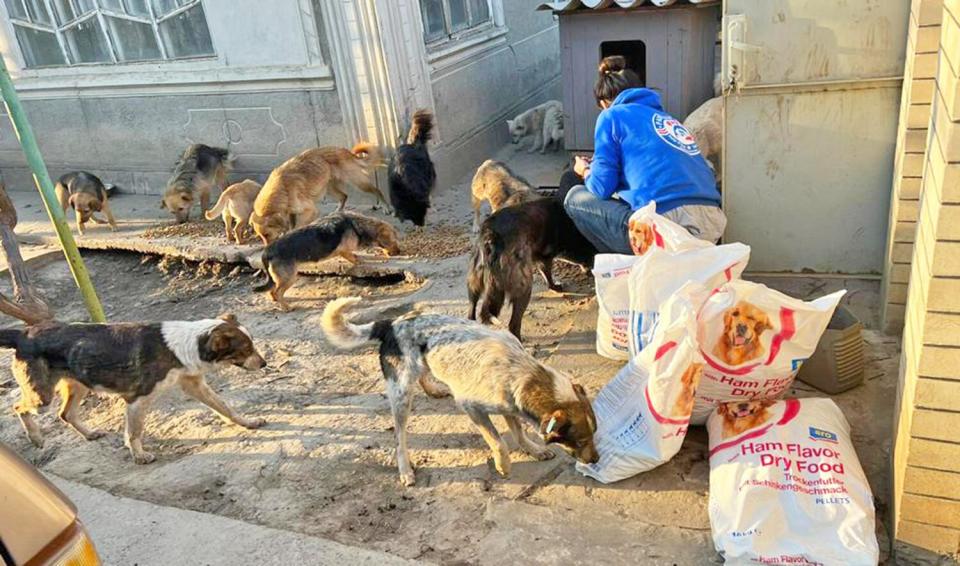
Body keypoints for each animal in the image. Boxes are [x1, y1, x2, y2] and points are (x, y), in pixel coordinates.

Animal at [4, 316, 266, 466]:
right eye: (246, 349)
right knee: (18, 406)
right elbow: (134, 431)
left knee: (65, 414)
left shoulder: (194, 384)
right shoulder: (136, 399)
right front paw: (139, 456)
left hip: (78, 386)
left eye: (253, 345)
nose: (264, 364)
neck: (185, 345)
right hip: (42, 397)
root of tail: (24, 333)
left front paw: (248, 422)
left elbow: (225, 407)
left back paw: (89, 434)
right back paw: (35, 437)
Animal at [253, 144, 392, 244]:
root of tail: (345, 151)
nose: (267, 247)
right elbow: (291, 224)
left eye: (267, 235)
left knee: (377, 191)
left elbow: (297, 226)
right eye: (261, 237)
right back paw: (337, 212)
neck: (282, 189)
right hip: (329, 188)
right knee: (344, 196)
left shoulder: (310, 210)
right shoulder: (291, 211)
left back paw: (385, 207)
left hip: (359, 183)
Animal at [253, 212, 400, 312]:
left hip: (282, 277)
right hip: (290, 277)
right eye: (394, 240)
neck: (356, 225)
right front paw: (380, 258)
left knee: (272, 291)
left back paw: (277, 301)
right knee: (277, 291)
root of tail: (267, 251)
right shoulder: (345, 251)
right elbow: (361, 258)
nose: (399, 252)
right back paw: (286, 307)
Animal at [318, 298, 596, 488]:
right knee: (399, 438)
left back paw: (434, 389)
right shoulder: (472, 408)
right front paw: (504, 466)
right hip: (401, 394)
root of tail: (391, 324)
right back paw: (405, 469)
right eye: (581, 440)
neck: (524, 372)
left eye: (594, 434)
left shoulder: (509, 405)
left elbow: (518, 432)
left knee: (424, 375)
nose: (596, 459)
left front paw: (534, 449)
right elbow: (498, 441)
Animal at [468, 199, 596, 342]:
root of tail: (491, 237)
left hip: (474, 281)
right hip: (524, 286)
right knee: (513, 324)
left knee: (472, 307)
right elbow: (548, 273)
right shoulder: (546, 258)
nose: (591, 271)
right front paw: (555, 287)